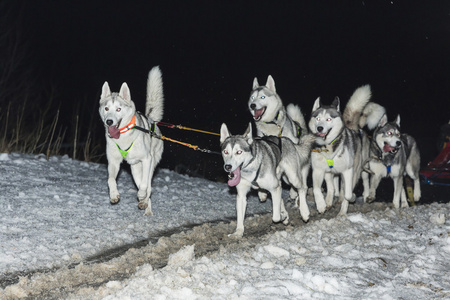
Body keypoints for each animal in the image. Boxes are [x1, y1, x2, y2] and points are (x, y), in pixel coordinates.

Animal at [99, 66, 164, 216]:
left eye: (118, 109)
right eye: (106, 108)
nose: (109, 121)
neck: (123, 135)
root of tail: (152, 121)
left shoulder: (147, 159)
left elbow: (144, 186)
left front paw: (141, 195)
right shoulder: (113, 162)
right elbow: (111, 180)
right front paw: (113, 195)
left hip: (150, 164)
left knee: (148, 186)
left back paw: (146, 206)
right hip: (135, 169)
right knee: (141, 183)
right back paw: (144, 204)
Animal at [310, 84, 380, 216]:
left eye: (329, 119)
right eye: (317, 118)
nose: (319, 128)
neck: (329, 148)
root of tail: (354, 128)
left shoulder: (348, 171)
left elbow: (348, 194)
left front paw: (351, 198)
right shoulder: (318, 170)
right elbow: (317, 189)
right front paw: (321, 205)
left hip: (359, 169)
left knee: (356, 183)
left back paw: (344, 211)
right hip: (330, 173)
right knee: (332, 187)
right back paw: (329, 202)